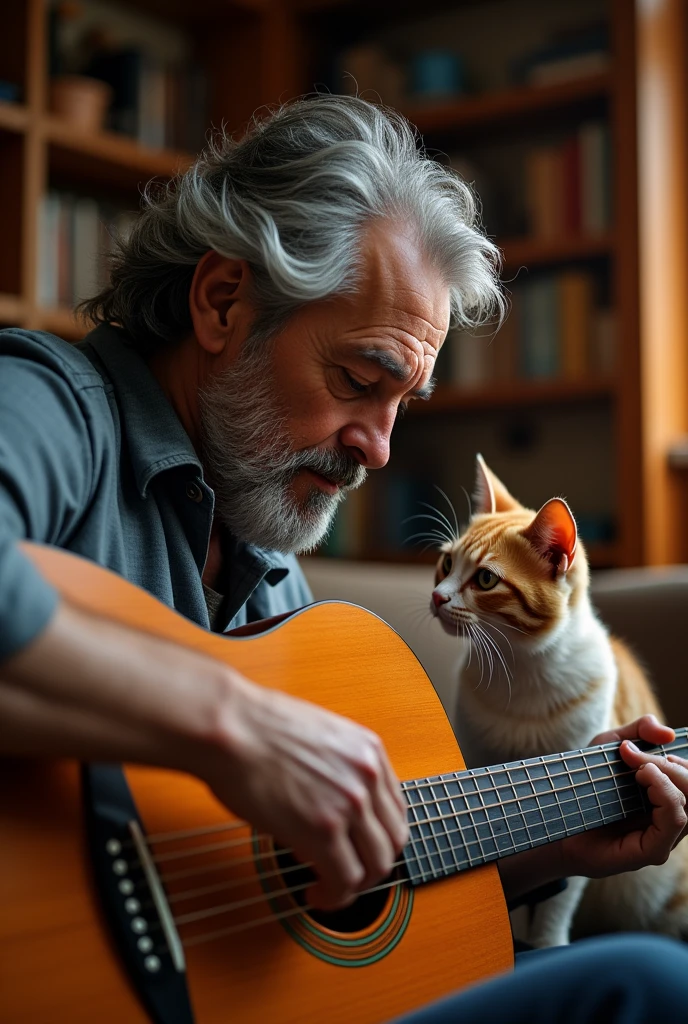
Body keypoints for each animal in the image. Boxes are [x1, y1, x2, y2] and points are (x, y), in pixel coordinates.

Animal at [430, 452, 688, 946]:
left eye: (485, 579)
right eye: (446, 563)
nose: (436, 596)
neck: (519, 673)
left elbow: (557, 899)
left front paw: (546, 942)